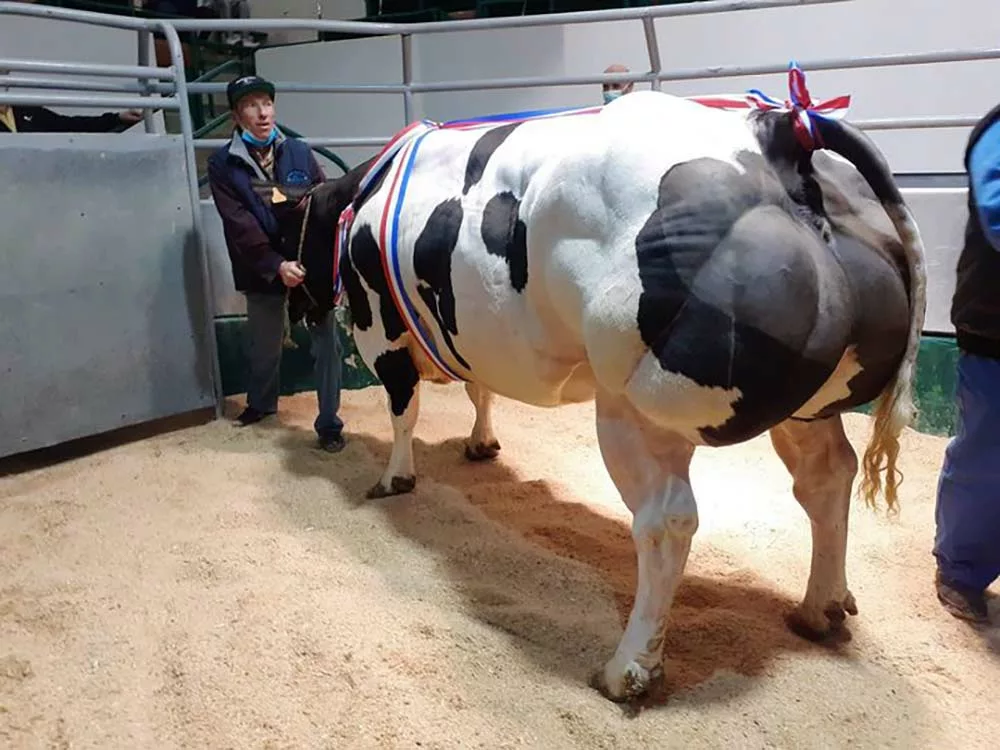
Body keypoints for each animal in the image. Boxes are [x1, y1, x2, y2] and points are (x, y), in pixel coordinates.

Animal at [262, 89, 924, 704]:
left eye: (288, 233)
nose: (295, 301)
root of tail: (779, 130)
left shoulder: (380, 327)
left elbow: (403, 411)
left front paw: (394, 479)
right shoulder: (471, 331)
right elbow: (480, 389)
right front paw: (481, 443)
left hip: (636, 405)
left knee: (666, 520)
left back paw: (627, 669)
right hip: (810, 404)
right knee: (827, 477)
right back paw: (821, 606)